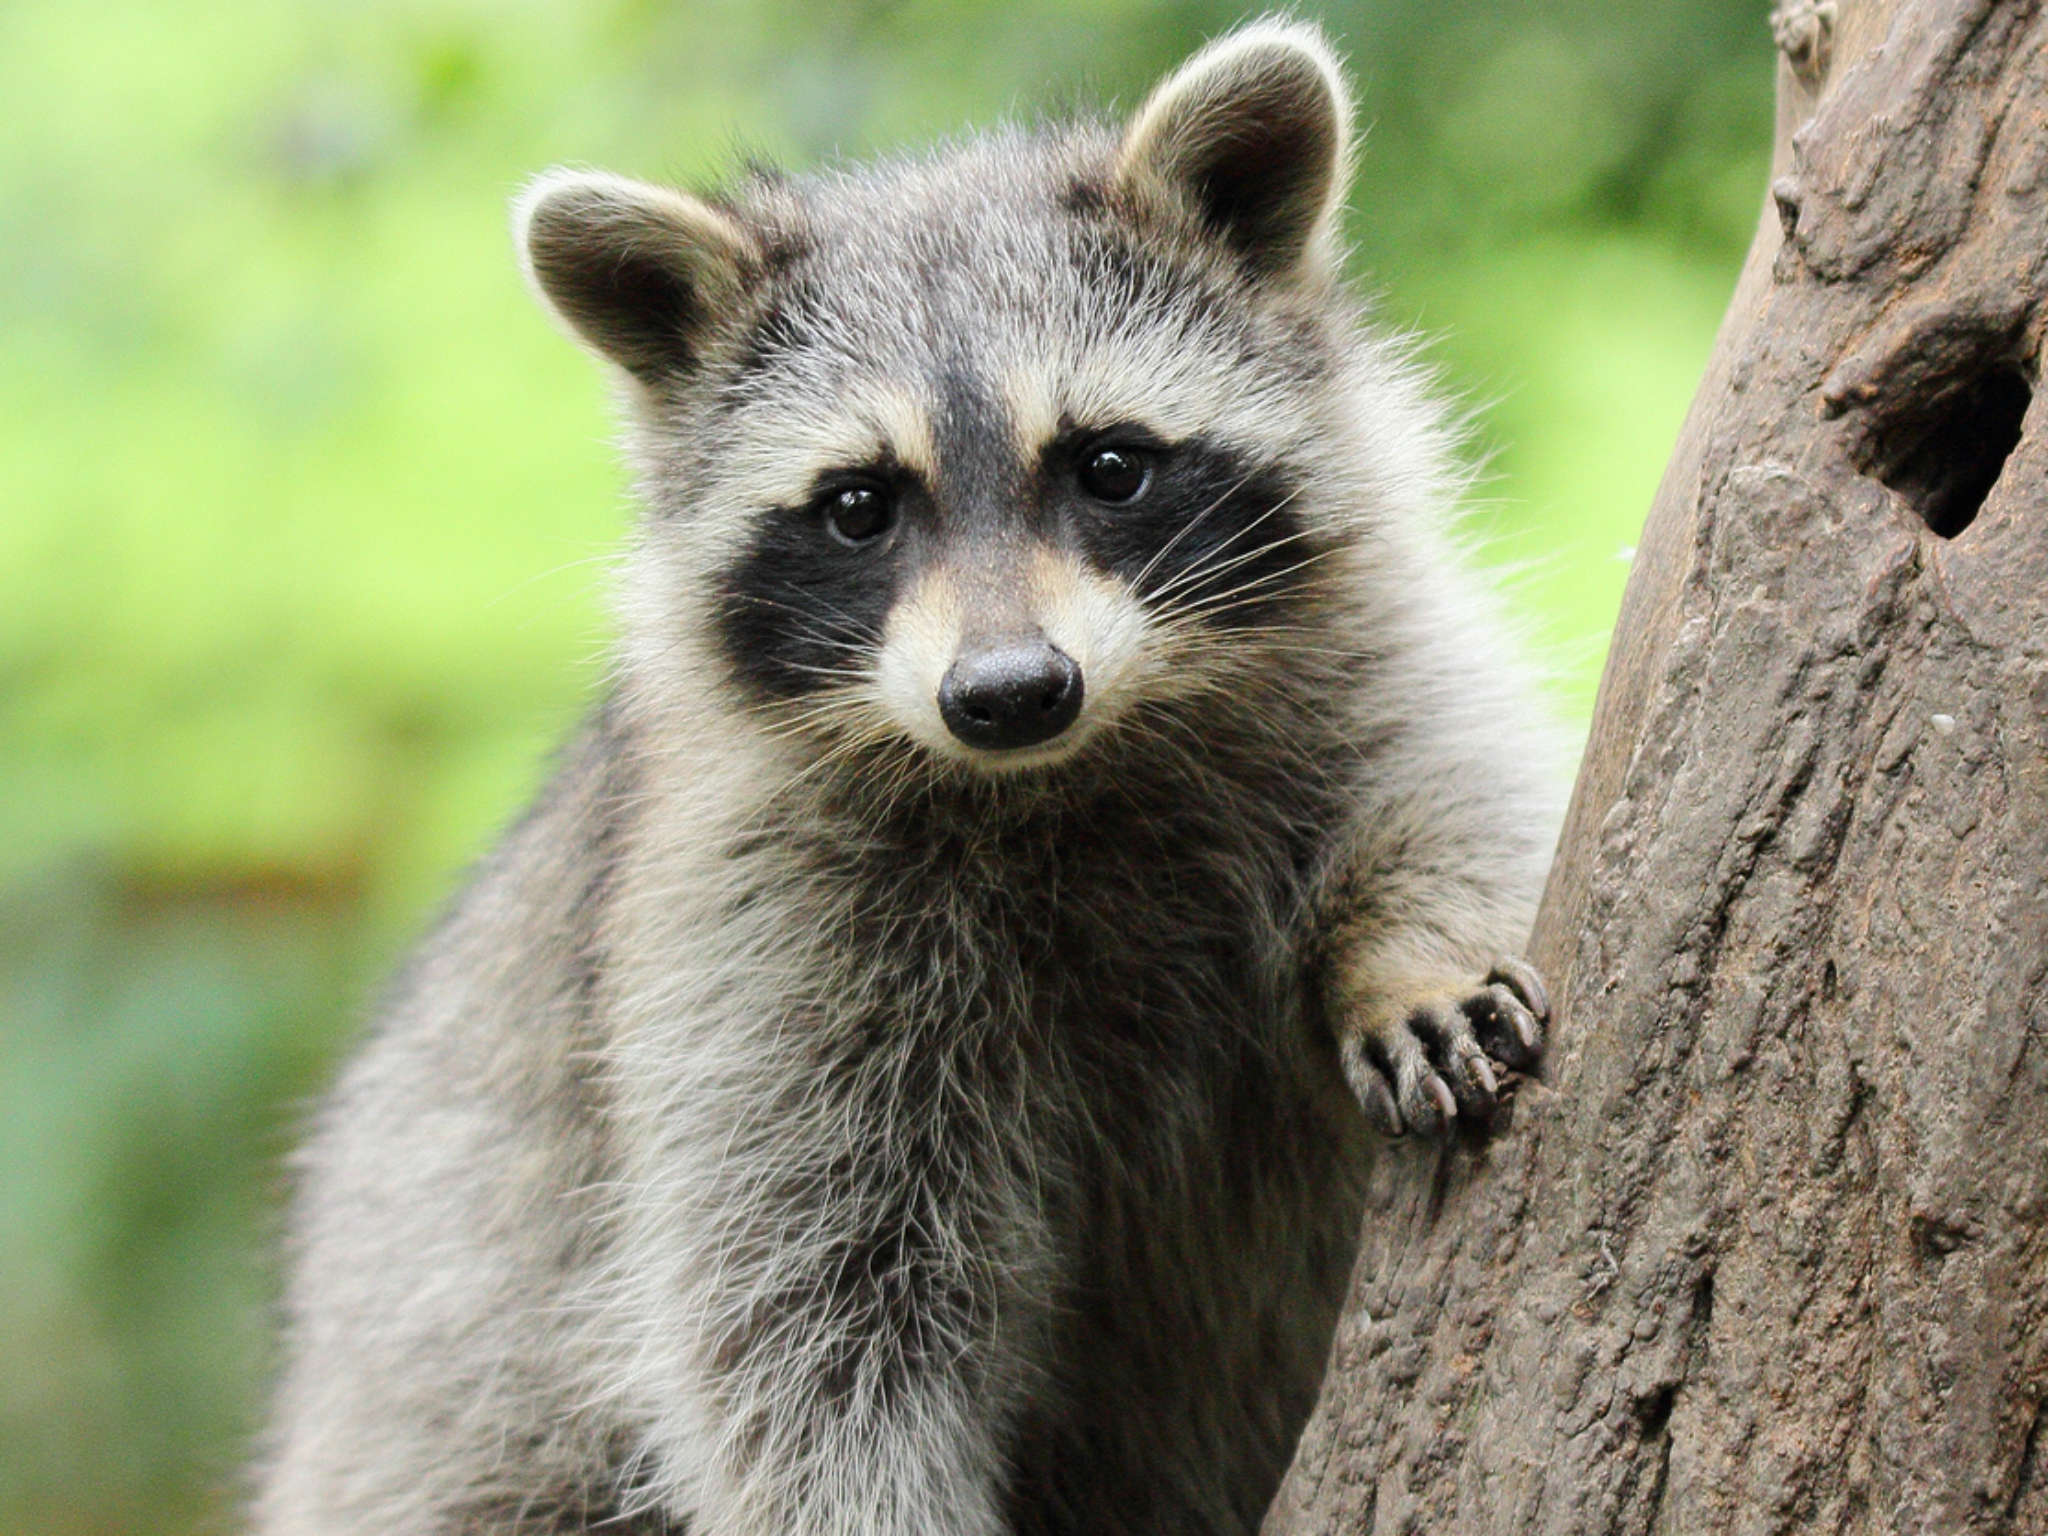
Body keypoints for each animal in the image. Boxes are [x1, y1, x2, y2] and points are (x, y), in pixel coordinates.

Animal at [264, 20, 1556, 1536]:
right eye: (858, 507)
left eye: (1109, 465)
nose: (1008, 693)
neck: (1068, 771)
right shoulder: (758, 936)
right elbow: (807, 1319)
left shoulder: (1366, 653)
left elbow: (1459, 781)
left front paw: (1413, 950)